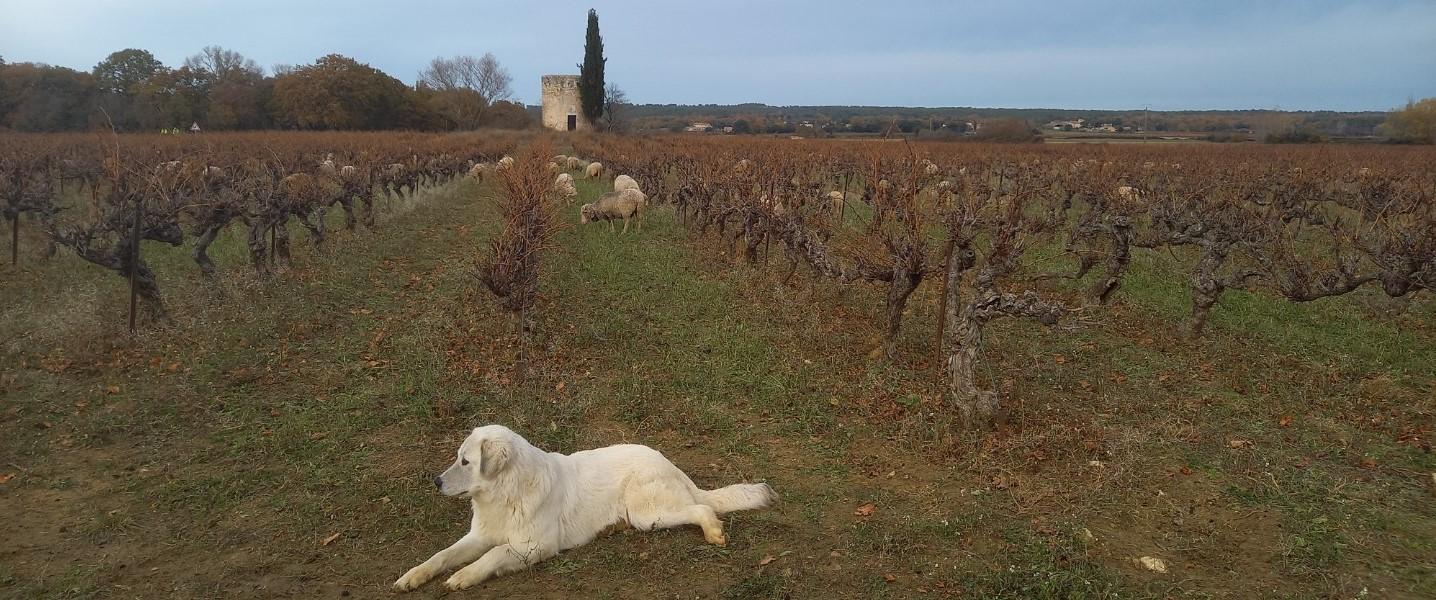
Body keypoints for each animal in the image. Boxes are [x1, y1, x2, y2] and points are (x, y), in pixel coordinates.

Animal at [390, 424, 775, 594]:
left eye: (465, 462)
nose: (436, 482)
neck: (507, 492)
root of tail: (672, 464)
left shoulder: (535, 546)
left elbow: (493, 555)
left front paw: (464, 576)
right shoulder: (479, 535)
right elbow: (441, 555)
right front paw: (412, 576)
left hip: (647, 514)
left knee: (702, 510)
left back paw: (713, 531)